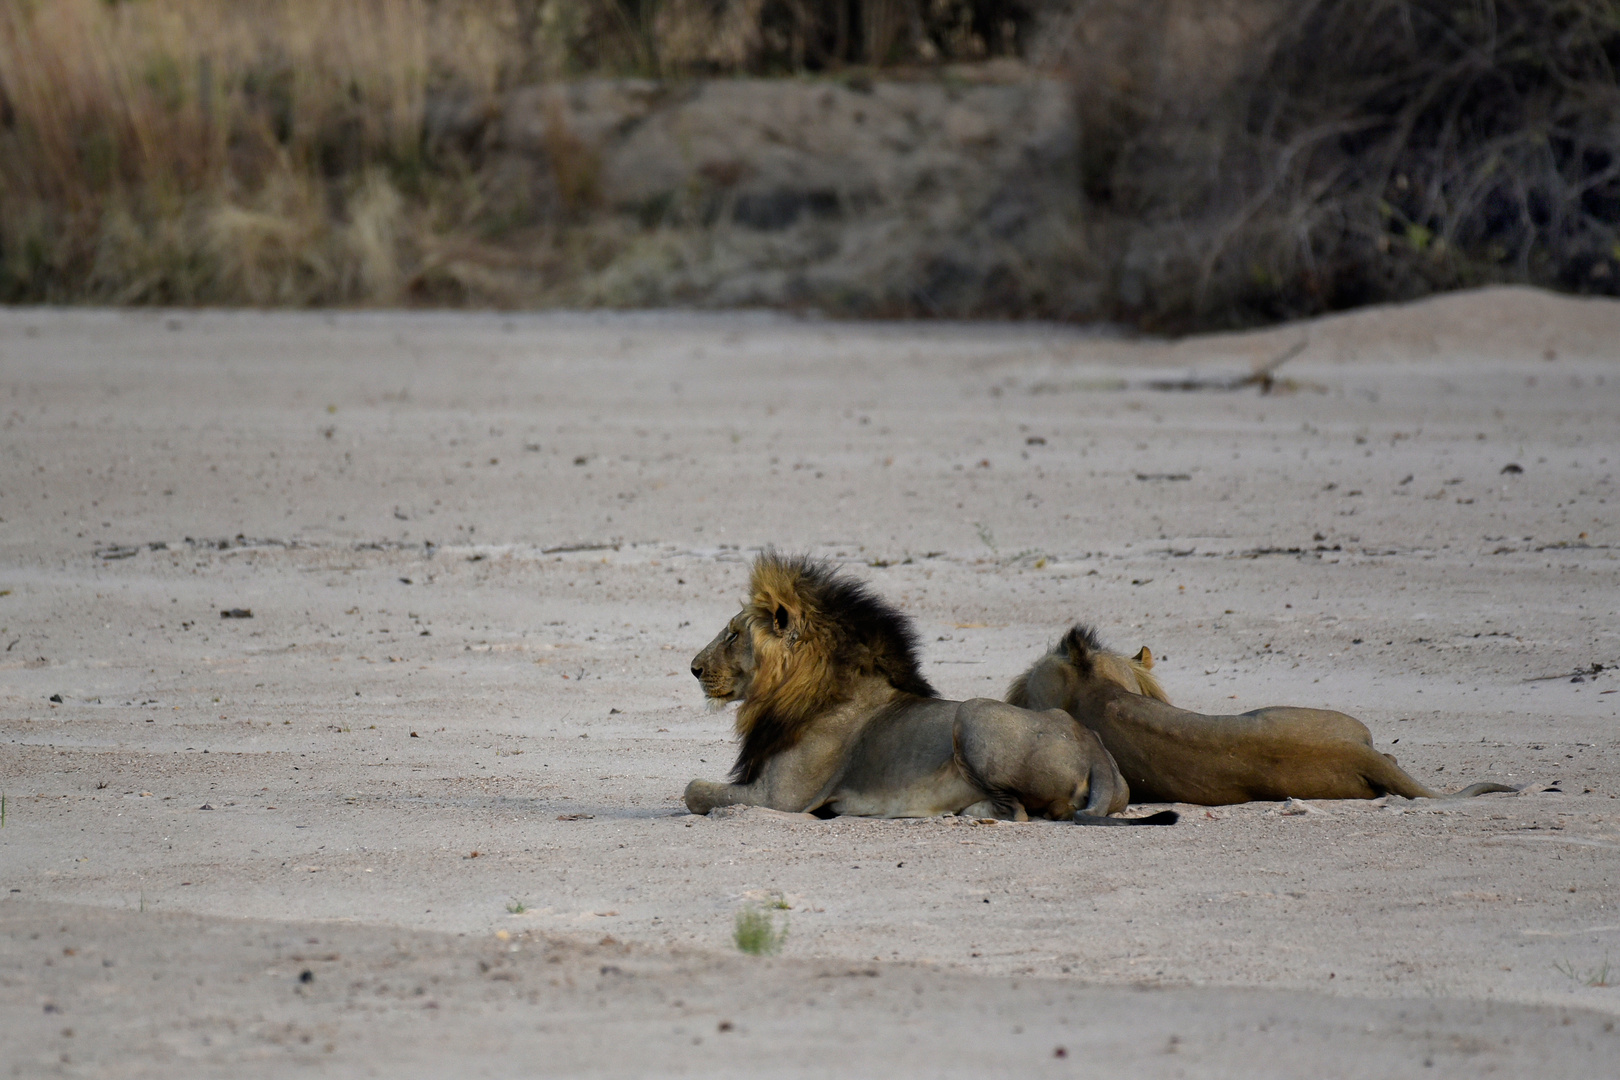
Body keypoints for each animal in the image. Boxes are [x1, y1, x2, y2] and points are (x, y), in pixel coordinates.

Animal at [683, 557, 1179, 829]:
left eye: (733, 634)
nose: (694, 669)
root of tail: (1099, 754)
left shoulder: (778, 798)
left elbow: (693, 791)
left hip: (974, 714)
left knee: (1020, 812)